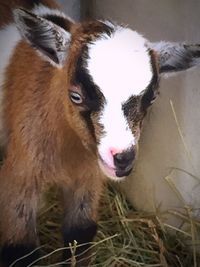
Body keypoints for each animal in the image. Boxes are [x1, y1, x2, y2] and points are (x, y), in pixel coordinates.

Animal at [0, 0, 200, 266]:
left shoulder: (88, 177)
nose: (123, 159)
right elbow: (20, 250)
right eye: (76, 96)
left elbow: (80, 232)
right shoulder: (19, 174)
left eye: (152, 97)